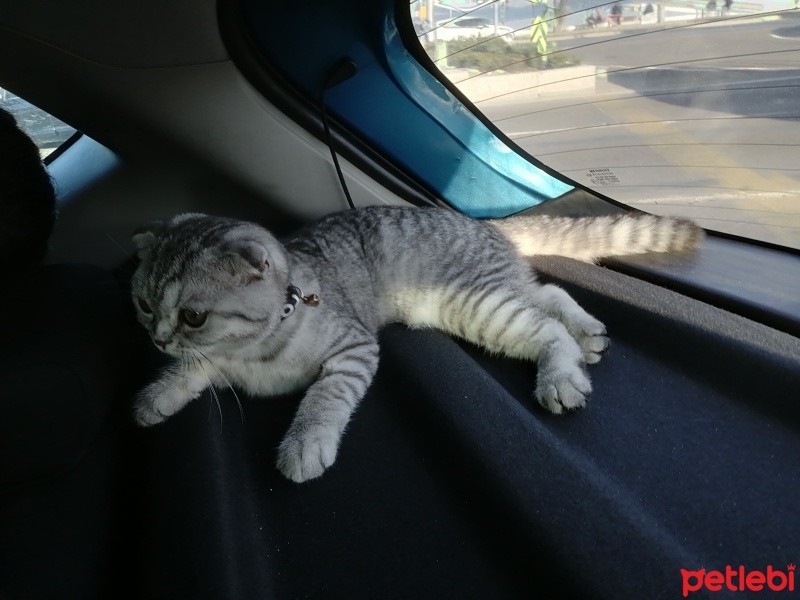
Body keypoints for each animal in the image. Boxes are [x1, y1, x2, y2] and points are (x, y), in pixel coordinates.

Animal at [130, 206, 700, 482]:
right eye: (143, 305)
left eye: (193, 316)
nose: (157, 338)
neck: (250, 347)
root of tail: (481, 223)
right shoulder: (213, 359)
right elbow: (192, 371)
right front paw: (157, 395)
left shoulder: (354, 350)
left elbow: (324, 398)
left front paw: (305, 442)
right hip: (492, 294)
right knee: (549, 294)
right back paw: (588, 331)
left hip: (476, 304)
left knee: (547, 325)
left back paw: (562, 371)